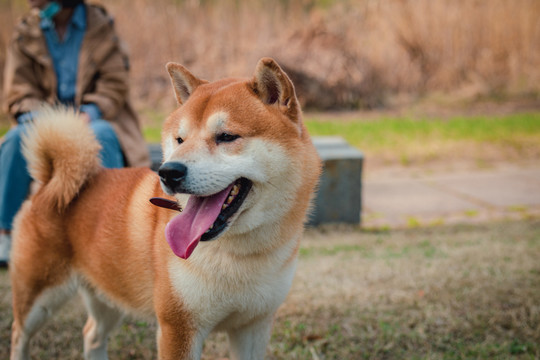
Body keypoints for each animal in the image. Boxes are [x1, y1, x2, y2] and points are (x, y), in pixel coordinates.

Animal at [9, 57, 320, 358]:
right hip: (38, 299)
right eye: (179, 139)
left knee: (92, 335)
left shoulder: (254, 325)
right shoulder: (178, 327)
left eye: (226, 136)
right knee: (19, 336)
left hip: (109, 295)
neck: (237, 255)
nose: (168, 172)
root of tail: (50, 180)